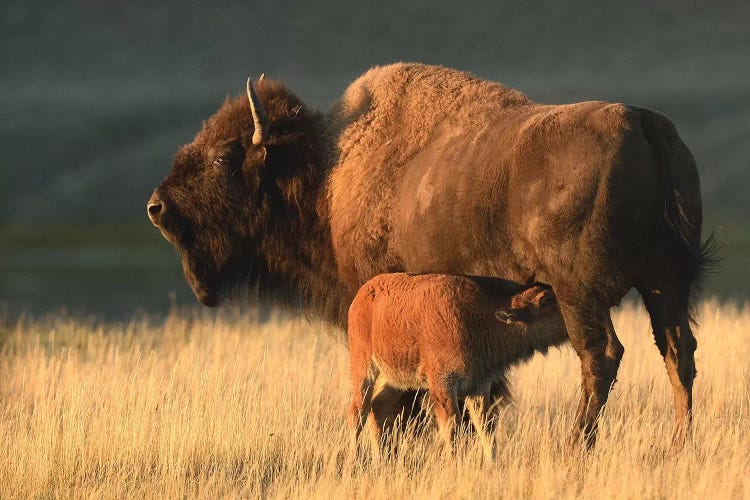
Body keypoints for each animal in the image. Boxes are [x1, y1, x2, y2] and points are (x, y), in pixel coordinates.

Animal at [350, 274, 568, 460]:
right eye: (546, 301)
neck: (482, 318)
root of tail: (363, 293)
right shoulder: (443, 385)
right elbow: (452, 426)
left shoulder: (479, 386)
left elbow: (485, 427)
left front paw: (492, 464)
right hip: (363, 367)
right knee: (359, 410)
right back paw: (355, 459)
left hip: (396, 380)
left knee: (377, 407)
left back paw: (380, 460)